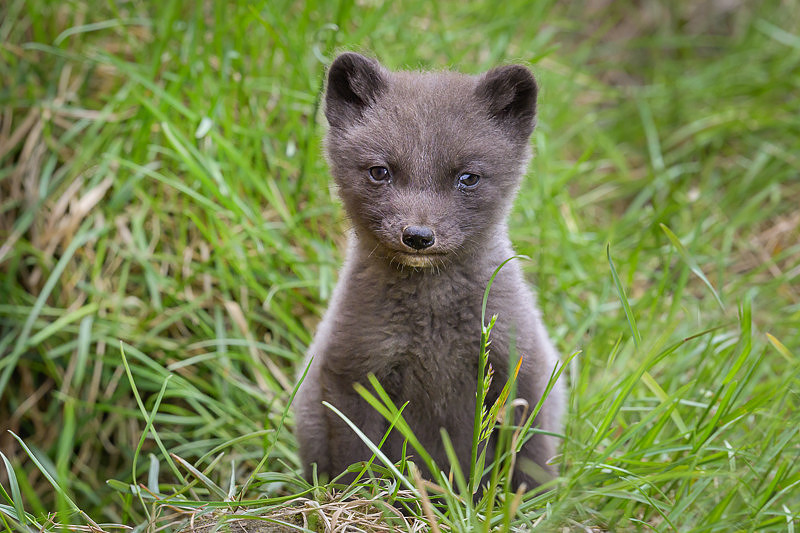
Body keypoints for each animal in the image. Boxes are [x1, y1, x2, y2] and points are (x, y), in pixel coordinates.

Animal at [293, 52, 564, 492]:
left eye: (468, 177)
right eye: (380, 171)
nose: (418, 236)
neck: (433, 330)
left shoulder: (523, 371)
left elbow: (528, 463)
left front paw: (528, 502)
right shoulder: (352, 374)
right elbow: (357, 459)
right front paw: (361, 499)